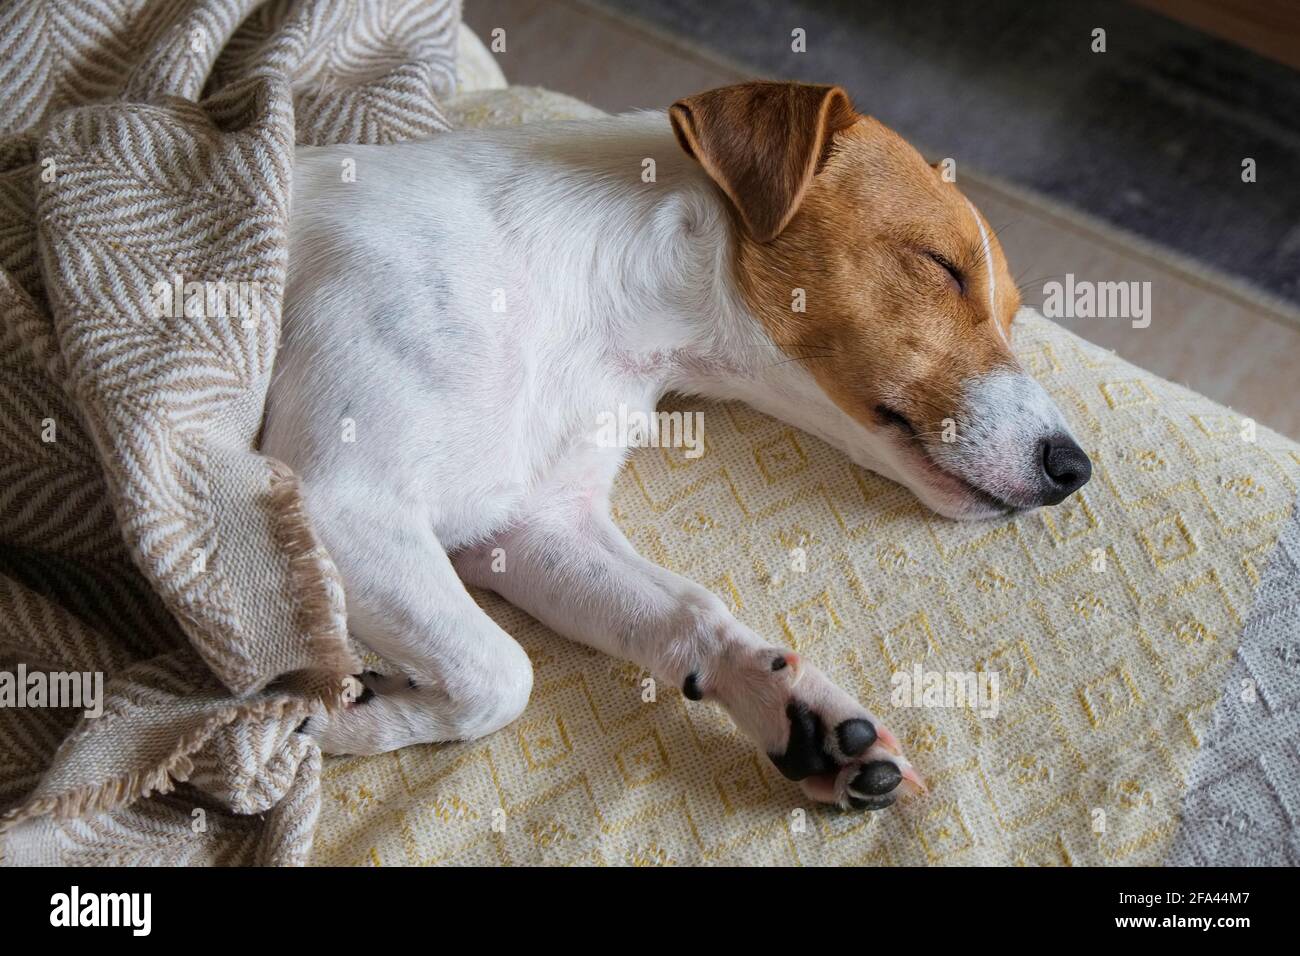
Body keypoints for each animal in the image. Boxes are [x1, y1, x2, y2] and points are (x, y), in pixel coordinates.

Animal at [269, 83, 1092, 816]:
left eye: (1011, 312)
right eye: (938, 265)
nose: (1074, 469)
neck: (593, 303)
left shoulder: (535, 529)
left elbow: (684, 613)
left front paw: (799, 709)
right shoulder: (335, 501)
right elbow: (504, 672)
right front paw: (338, 720)